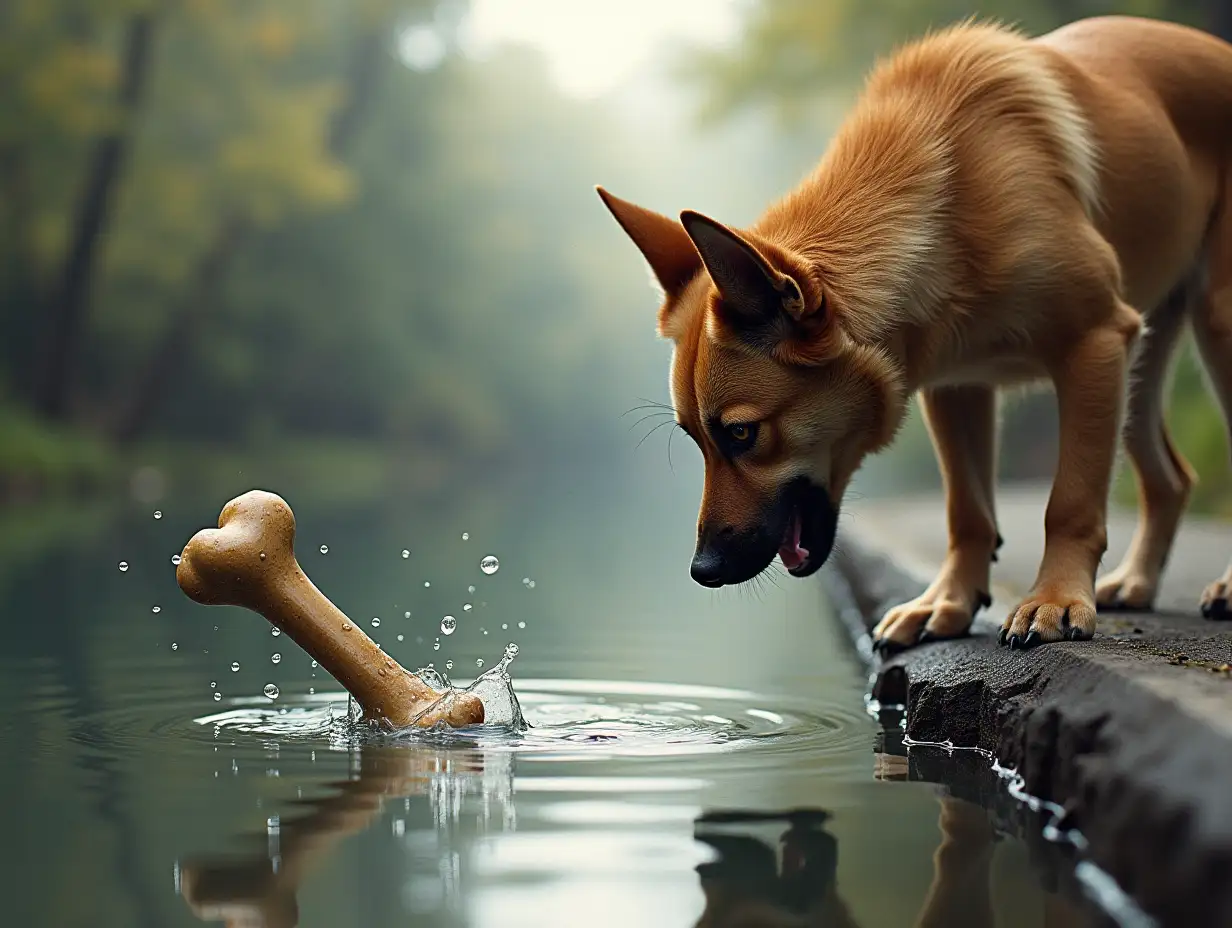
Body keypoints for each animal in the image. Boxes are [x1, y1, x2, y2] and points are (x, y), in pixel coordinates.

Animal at [596, 14, 1232, 650]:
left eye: (742, 434)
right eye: (694, 437)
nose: (702, 570)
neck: (948, 198)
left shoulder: (1093, 342)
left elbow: (1070, 502)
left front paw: (1053, 600)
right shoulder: (957, 387)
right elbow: (967, 513)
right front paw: (947, 603)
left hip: (1202, 331)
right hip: (1136, 369)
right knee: (1171, 478)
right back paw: (1138, 581)